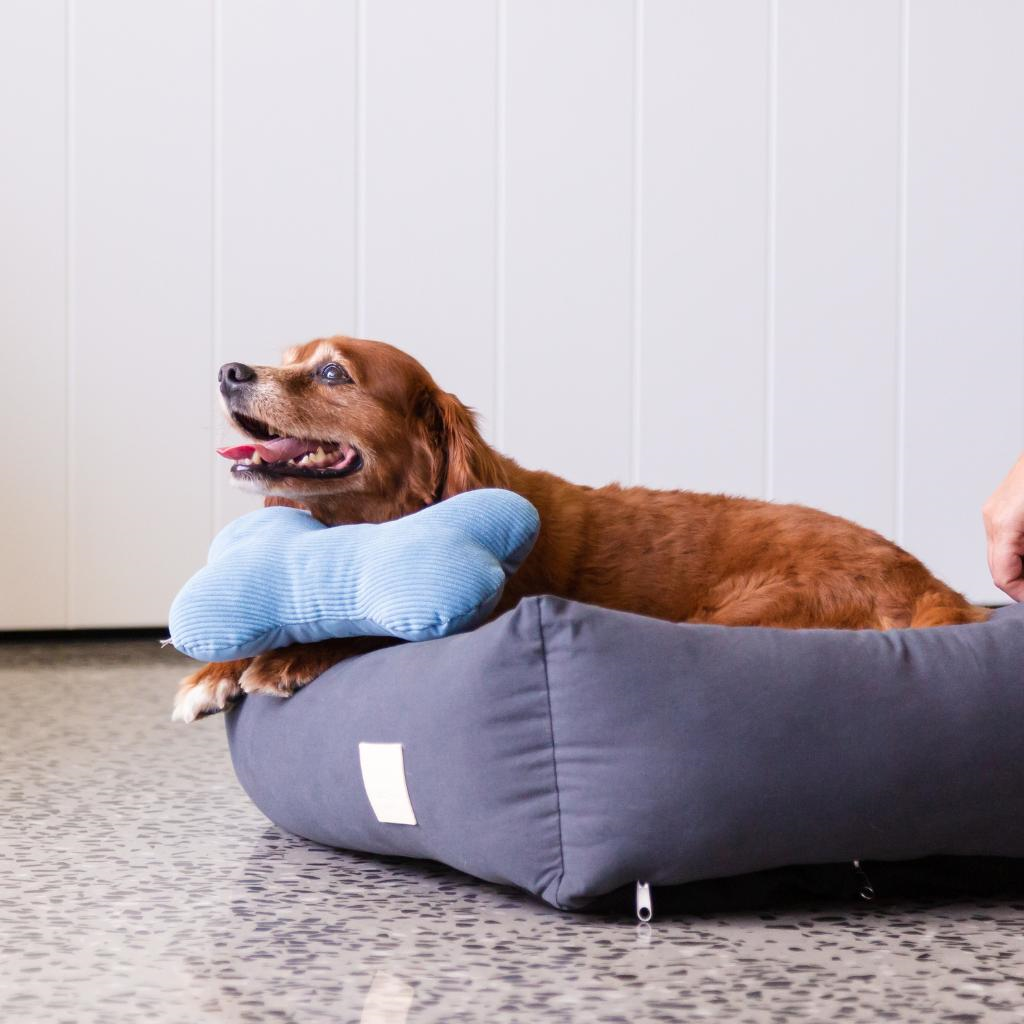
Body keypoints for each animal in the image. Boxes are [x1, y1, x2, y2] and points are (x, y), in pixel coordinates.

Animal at [172, 335, 987, 720]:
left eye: (333, 373)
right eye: (285, 359)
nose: (230, 371)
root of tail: (931, 583)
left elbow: (373, 632)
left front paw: (288, 658)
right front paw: (213, 671)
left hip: (748, 611)